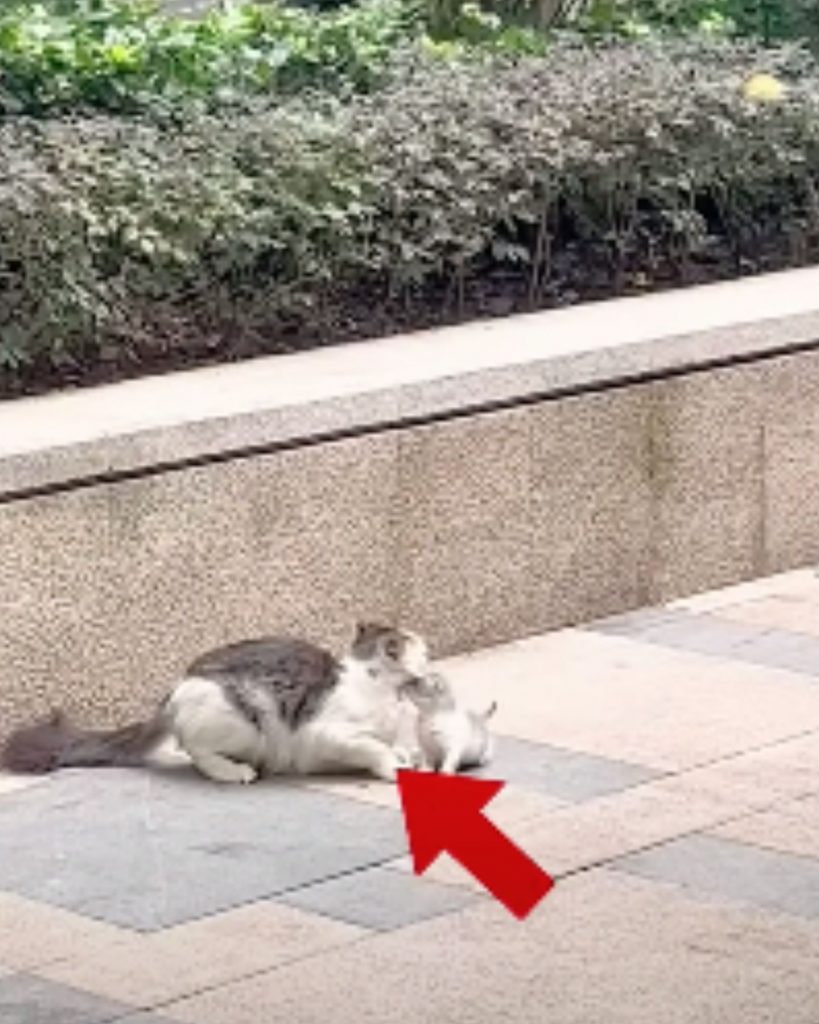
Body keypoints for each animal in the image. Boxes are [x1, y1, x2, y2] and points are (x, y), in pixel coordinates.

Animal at [0, 622, 432, 782]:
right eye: (419, 646)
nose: (427, 646)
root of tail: (174, 690)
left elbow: (396, 745)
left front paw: (409, 757)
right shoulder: (330, 734)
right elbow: (372, 746)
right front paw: (394, 766)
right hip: (246, 723)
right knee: (196, 750)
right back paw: (234, 772)